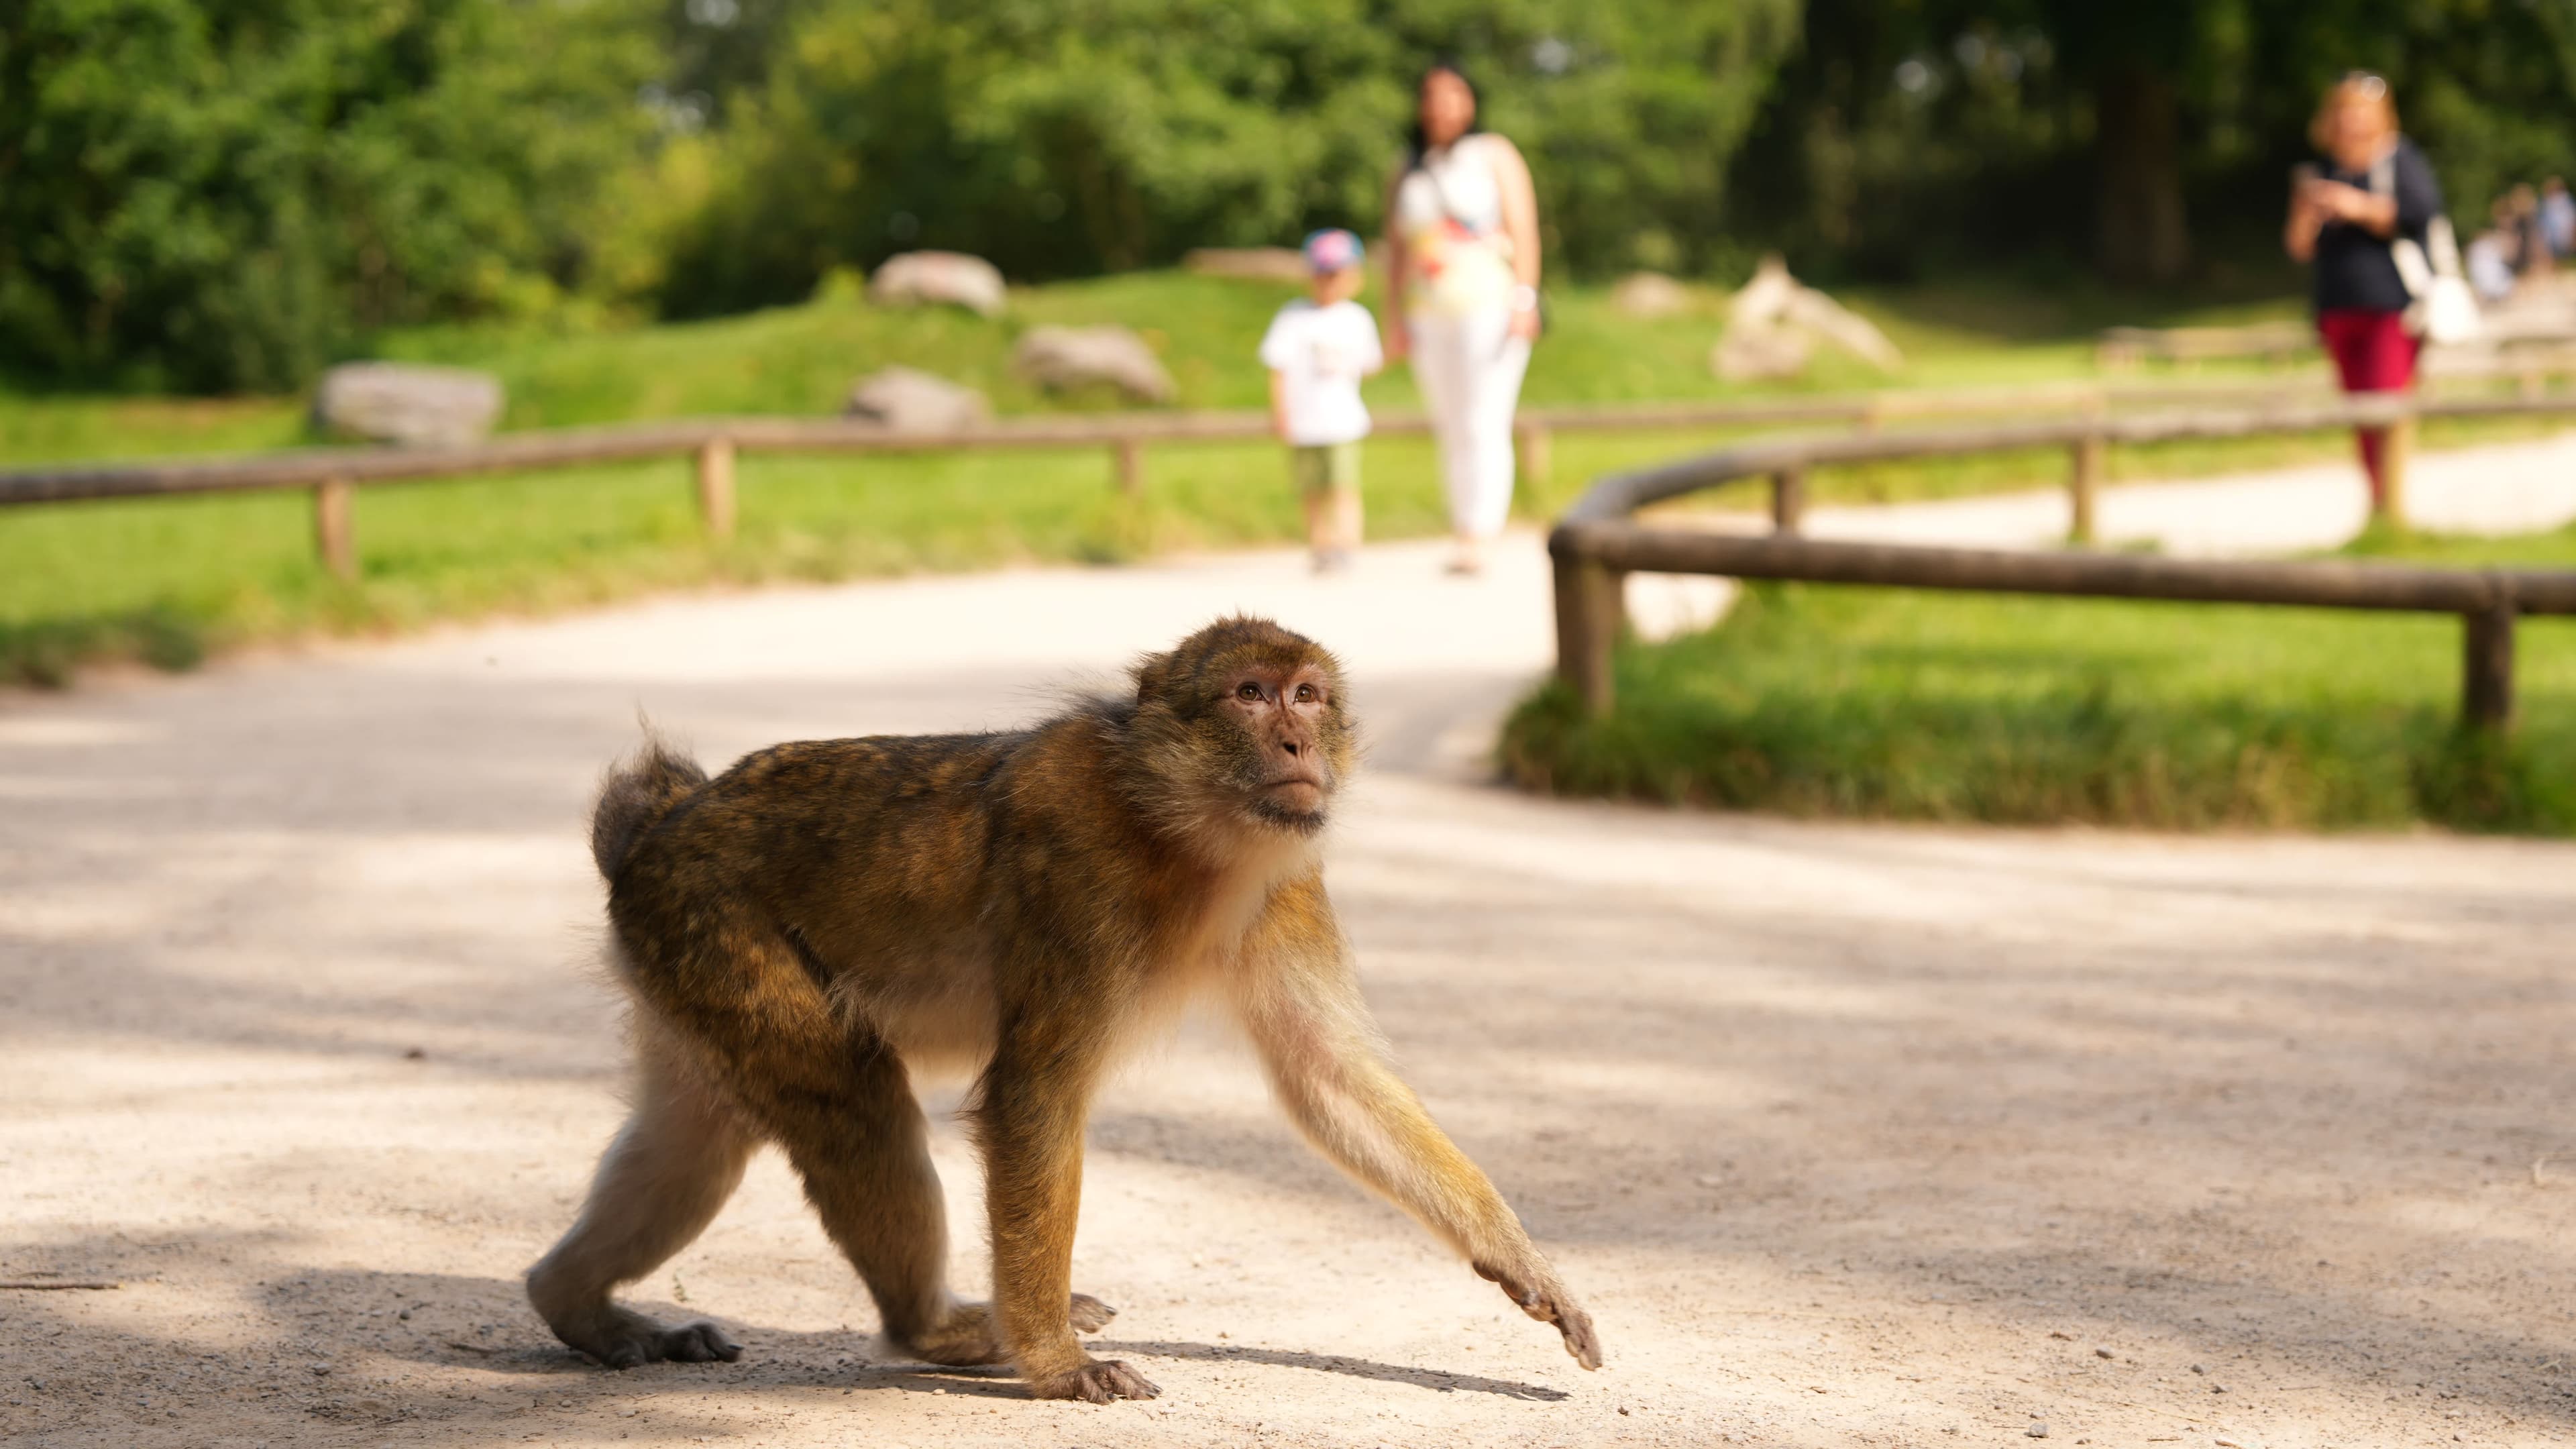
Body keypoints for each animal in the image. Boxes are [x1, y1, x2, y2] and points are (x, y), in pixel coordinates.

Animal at [525, 616, 1601, 1403]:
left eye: (1308, 694)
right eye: (1250, 695)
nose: (1299, 740)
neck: (1182, 835)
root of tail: (659, 829)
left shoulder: (1289, 886)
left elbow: (1329, 1079)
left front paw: (1519, 1259)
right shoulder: (1079, 879)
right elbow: (1033, 1099)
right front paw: (1052, 1362)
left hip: (678, 965)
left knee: (696, 1141)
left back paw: (573, 1304)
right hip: (713, 929)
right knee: (850, 1097)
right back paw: (943, 1329)